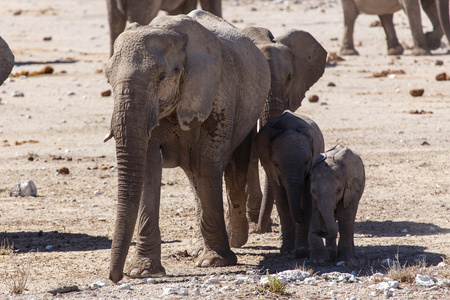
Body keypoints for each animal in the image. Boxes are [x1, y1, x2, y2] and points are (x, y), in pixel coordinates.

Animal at [103, 8, 268, 282]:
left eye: (162, 77)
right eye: (108, 79)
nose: (114, 278)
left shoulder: (219, 93)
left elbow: (209, 164)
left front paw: (215, 262)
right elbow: (148, 166)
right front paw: (142, 271)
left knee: (230, 167)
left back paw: (236, 239)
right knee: (195, 177)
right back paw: (201, 248)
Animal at [253, 111, 324, 256]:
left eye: (307, 162)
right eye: (276, 164)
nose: (257, 230)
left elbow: (307, 197)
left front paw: (302, 251)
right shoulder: (270, 168)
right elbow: (281, 200)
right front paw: (287, 251)